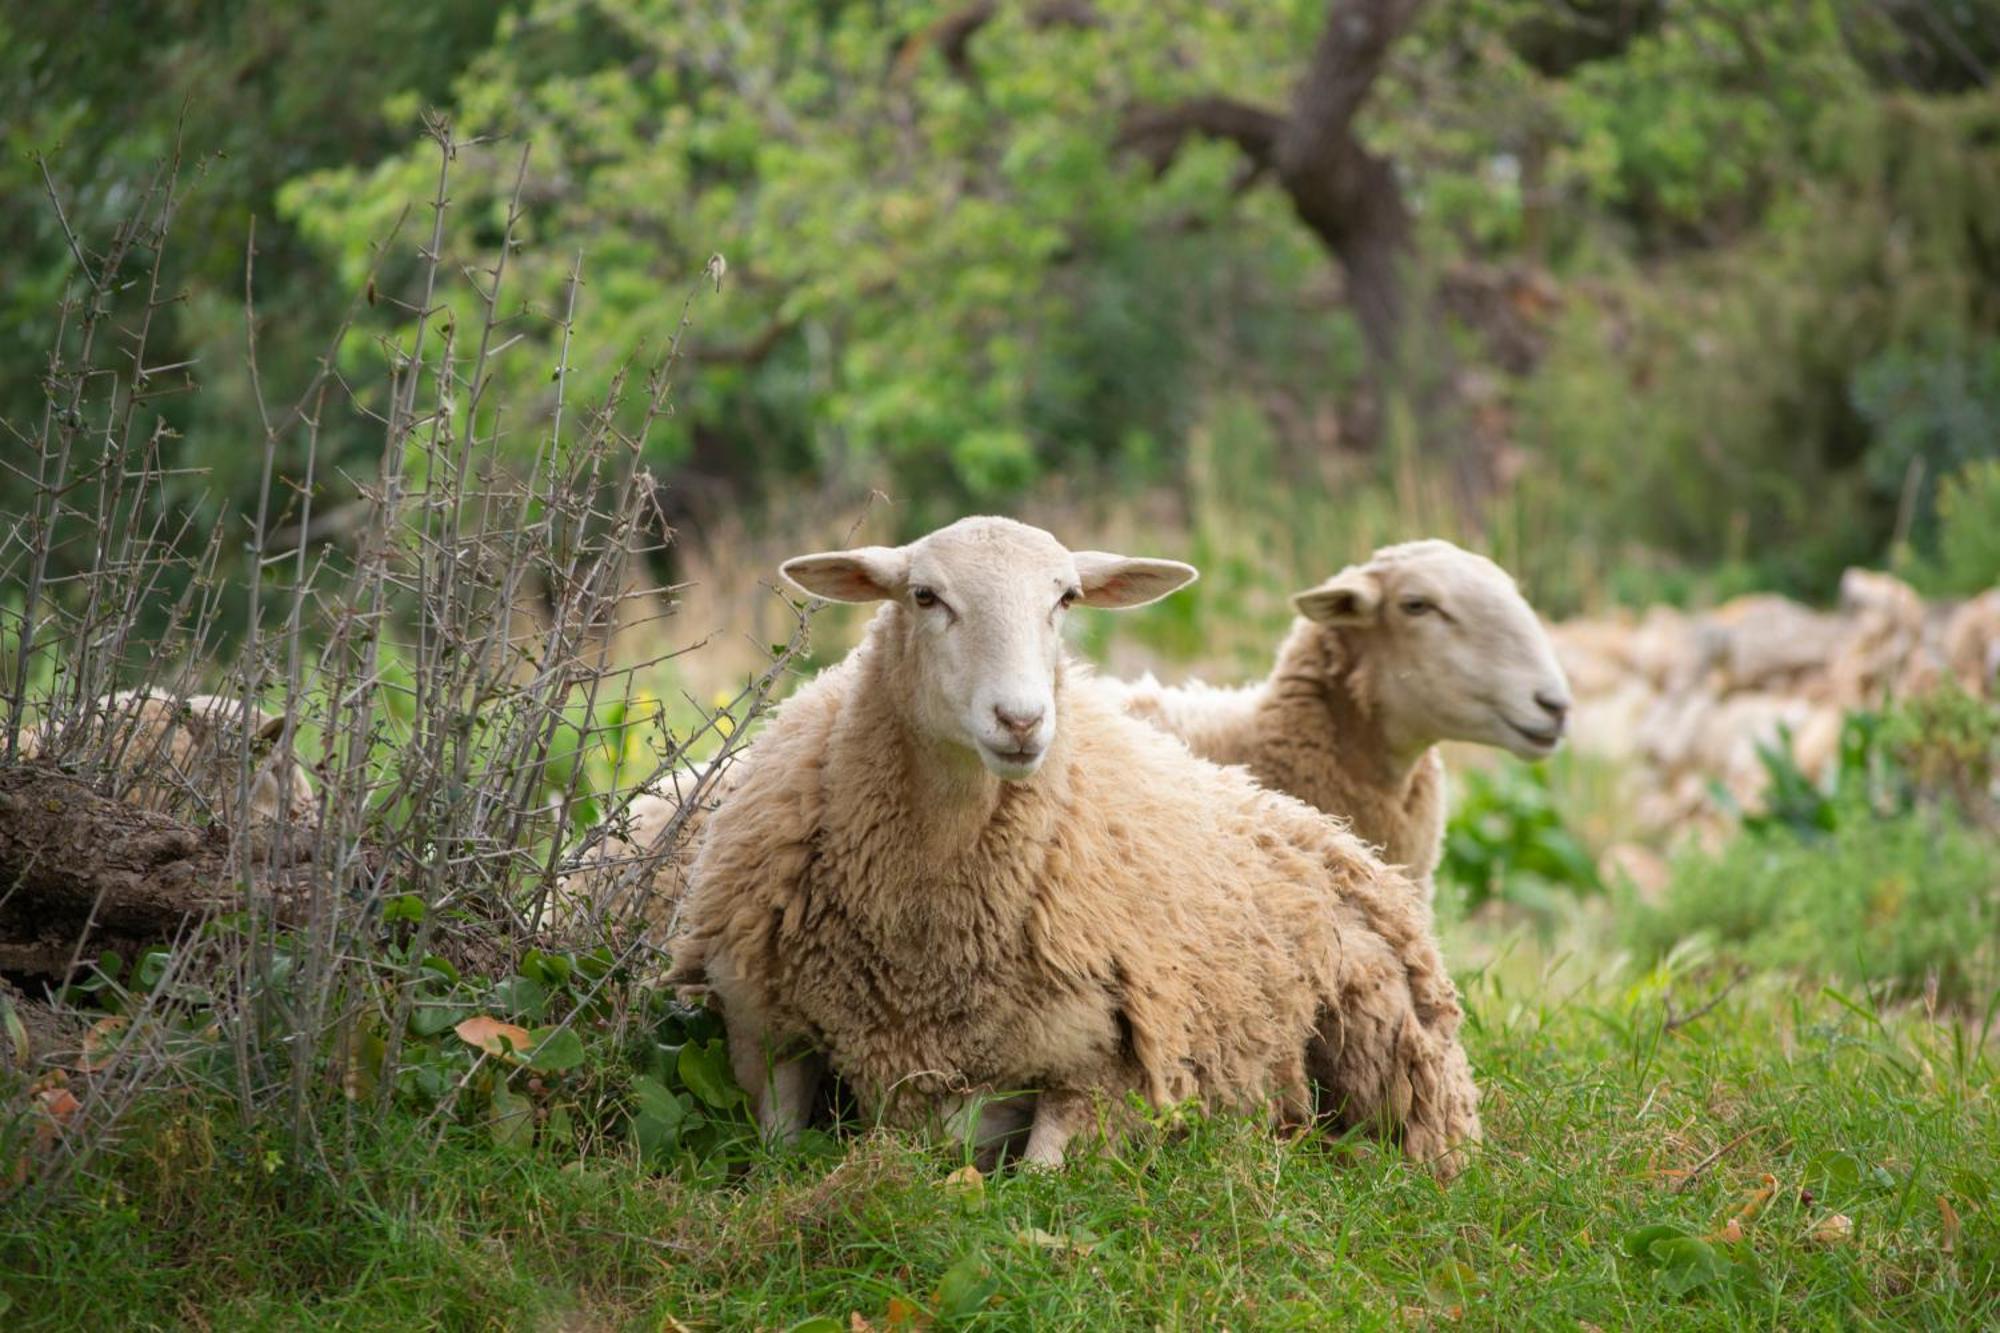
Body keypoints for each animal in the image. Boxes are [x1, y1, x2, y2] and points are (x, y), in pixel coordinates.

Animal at [676, 512, 1488, 1168]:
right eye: (925, 596)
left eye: (1064, 599)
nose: (1021, 720)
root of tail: (1330, 830)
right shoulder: (761, 1027)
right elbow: (775, 1156)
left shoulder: (1106, 1074)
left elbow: (1037, 1182)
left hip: (1391, 1042)